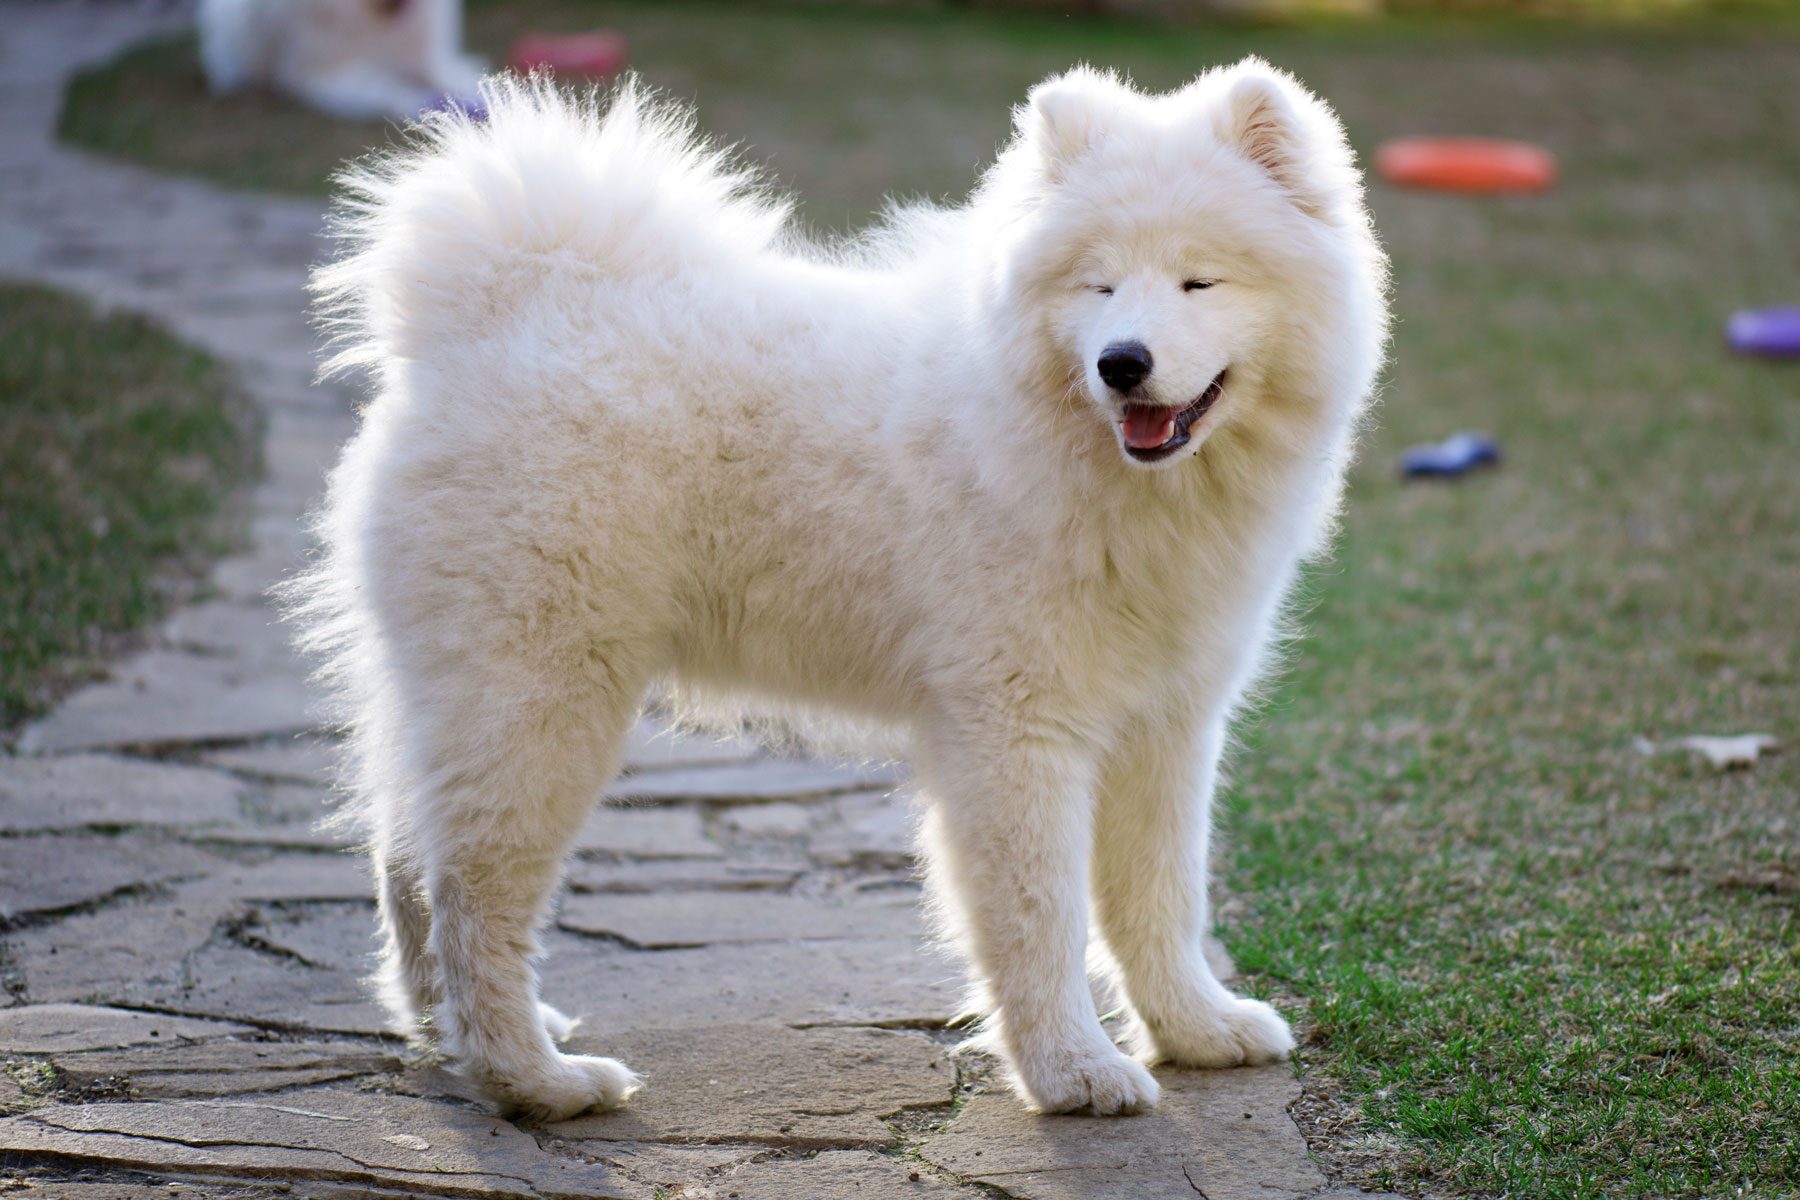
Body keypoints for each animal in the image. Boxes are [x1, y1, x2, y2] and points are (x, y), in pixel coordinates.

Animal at [298, 61, 1389, 1122]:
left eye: (1199, 279)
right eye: (1102, 282)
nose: (1122, 363)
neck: (1106, 470)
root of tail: (494, 313)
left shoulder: (1165, 722)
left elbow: (1160, 898)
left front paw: (1196, 1030)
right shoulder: (1013, 728)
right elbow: (1041, 914)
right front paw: (1073, 1072)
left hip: (456, 690)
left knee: (407, 866)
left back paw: (448, 1036)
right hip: (544, 698)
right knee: (473, 892)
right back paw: (534, 1081)